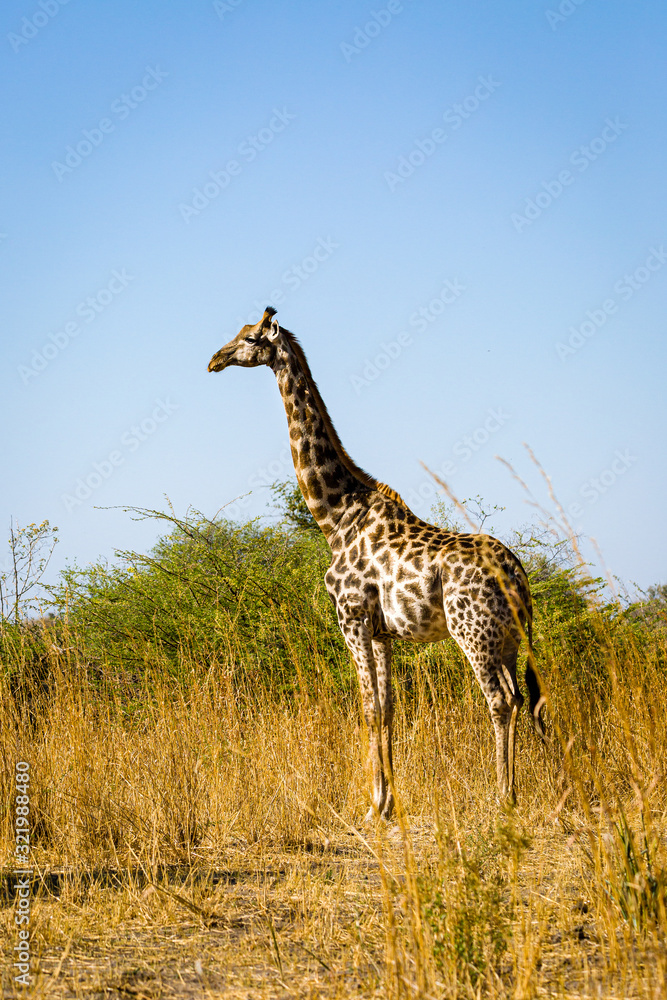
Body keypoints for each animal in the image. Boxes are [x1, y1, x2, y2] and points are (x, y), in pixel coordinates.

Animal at [208, 307, 545, 817]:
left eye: (249, 338)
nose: (214, 359)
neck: (336, 517)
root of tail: (518, 574)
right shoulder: (383, 630)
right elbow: (386, 710)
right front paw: (387, 804)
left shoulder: (351, 617)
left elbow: (366, 708)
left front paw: (371, 807)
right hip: (506, 636)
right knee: (525, 698)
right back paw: (529, 788)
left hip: (472, 630)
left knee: (501, 699)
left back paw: (503, 798)